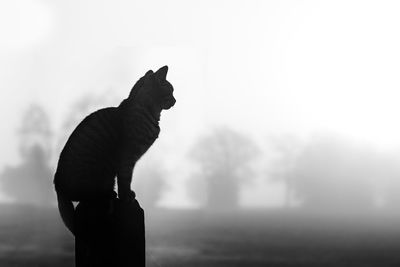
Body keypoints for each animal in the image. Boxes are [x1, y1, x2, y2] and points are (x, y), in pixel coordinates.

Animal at [54, 66, 175, 234]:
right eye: (171, 90)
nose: (176, 100)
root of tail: (57, 186)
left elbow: (125, 180)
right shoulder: (127, 158)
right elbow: (125, 180)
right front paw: (127, 198)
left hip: (107, 176)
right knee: (88, 196)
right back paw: (109, 195)